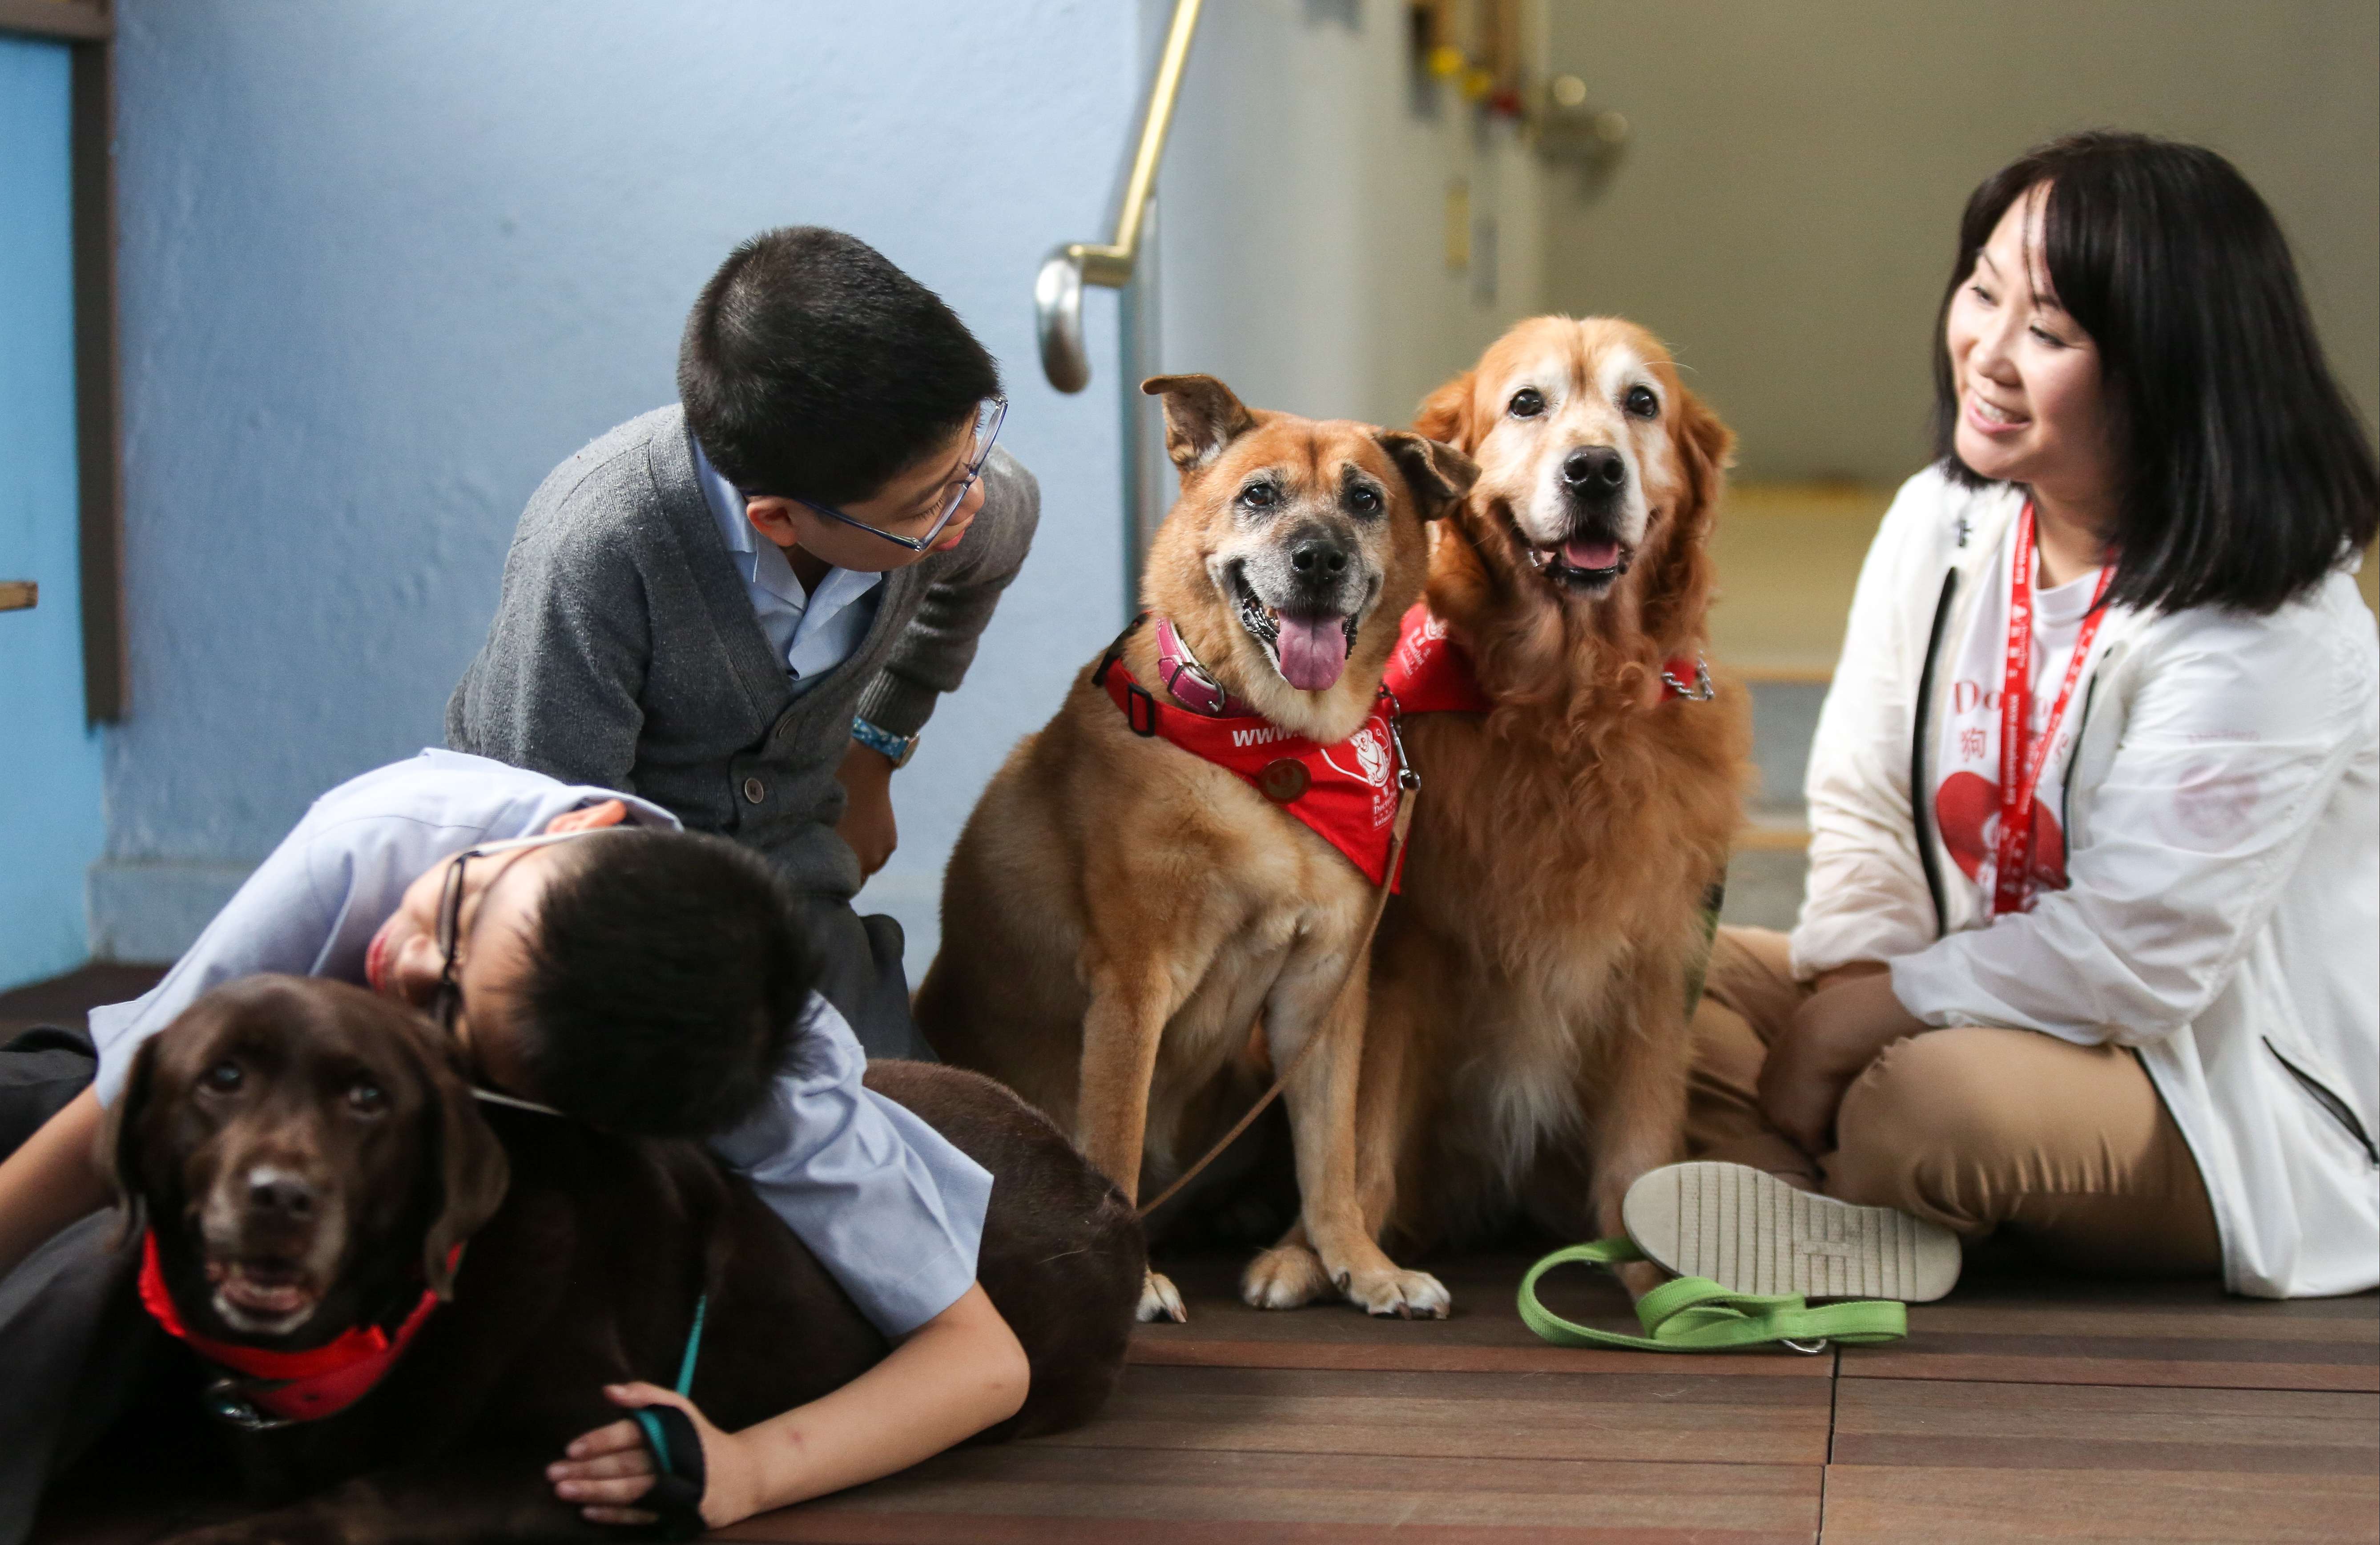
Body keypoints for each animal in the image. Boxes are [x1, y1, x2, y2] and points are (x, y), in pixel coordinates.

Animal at [923, 371, 1466, 1314]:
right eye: (1260, 496)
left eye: (1365, 499)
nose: (1318, 559)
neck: (1275, 748)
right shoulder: (1132, 983)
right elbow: (1113, 1140)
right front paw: (1131, 1279)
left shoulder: (1324, 992)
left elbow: (1331, 1158)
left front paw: (1361, 1265)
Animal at [1361, 314, 1752, 1276]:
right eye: (1525, 403)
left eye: (1640, 402)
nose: (1593, 470)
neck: (1567, 709)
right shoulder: (1401, 948)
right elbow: (1361, 1127)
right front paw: (1321, 1256)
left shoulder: (1657, 958)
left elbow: (1639, 1145)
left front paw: (1654, 1273)